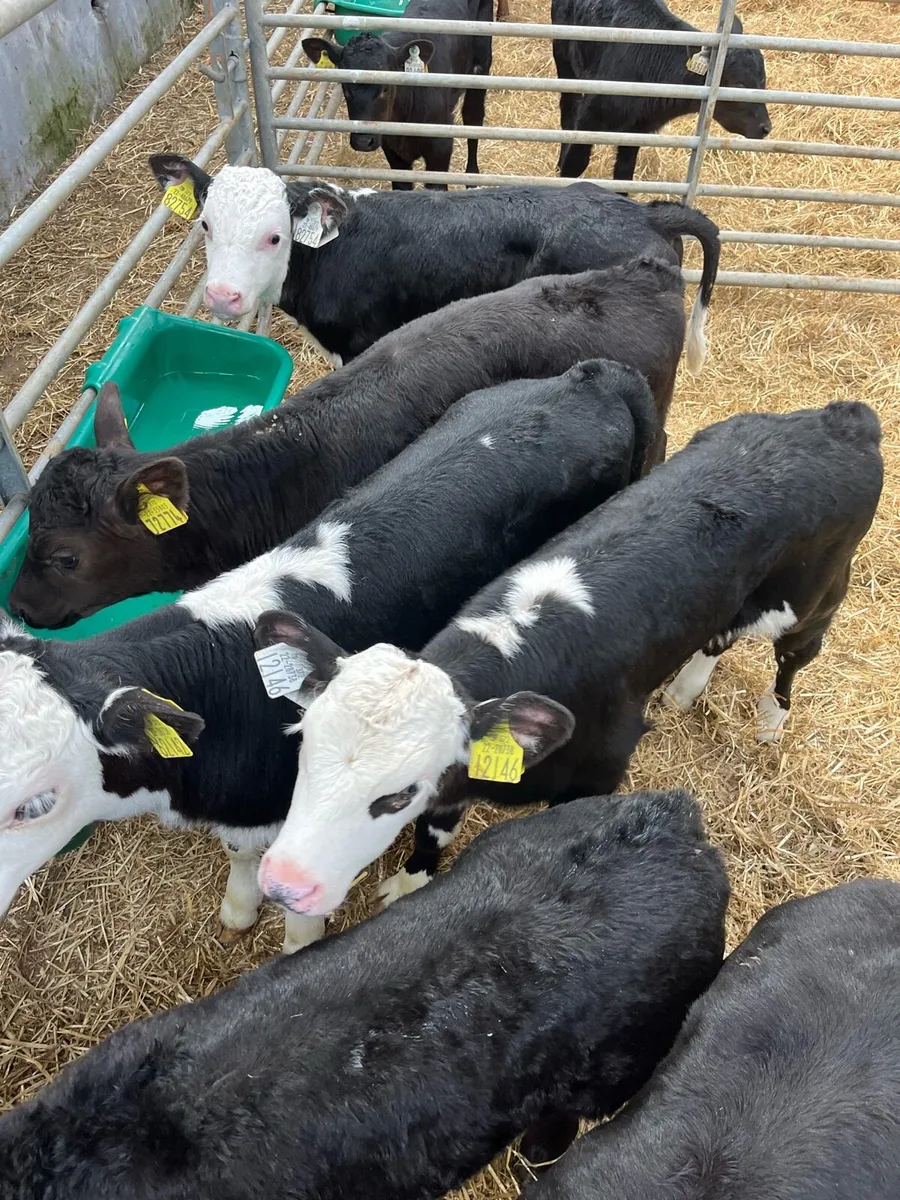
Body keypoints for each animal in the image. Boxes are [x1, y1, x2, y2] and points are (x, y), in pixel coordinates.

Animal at [254, 401, 882, 919]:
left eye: (397, 794)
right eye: (305, 746)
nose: (284, 885)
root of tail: (843, 418)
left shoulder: (601, 770)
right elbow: (435, 830)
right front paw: (411, 879)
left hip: (811, 598)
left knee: (794, 656)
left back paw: (772, 720)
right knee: (719, 635)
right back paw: (685, 689)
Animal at [301, 0, 492, 187]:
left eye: (386, 88)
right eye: (345, 87)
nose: (363, 142)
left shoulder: (440, 150)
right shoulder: (393, 152)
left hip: (481, 65)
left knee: (473, 116)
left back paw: (473, 177)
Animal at [551, 0, 771, 182]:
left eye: (763, 82)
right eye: (740, 85)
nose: (766, 128)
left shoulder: (638, 129)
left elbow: (624, 172)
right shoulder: (590, 116)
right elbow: (575, 165)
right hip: (564, 60)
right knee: (568, 110)